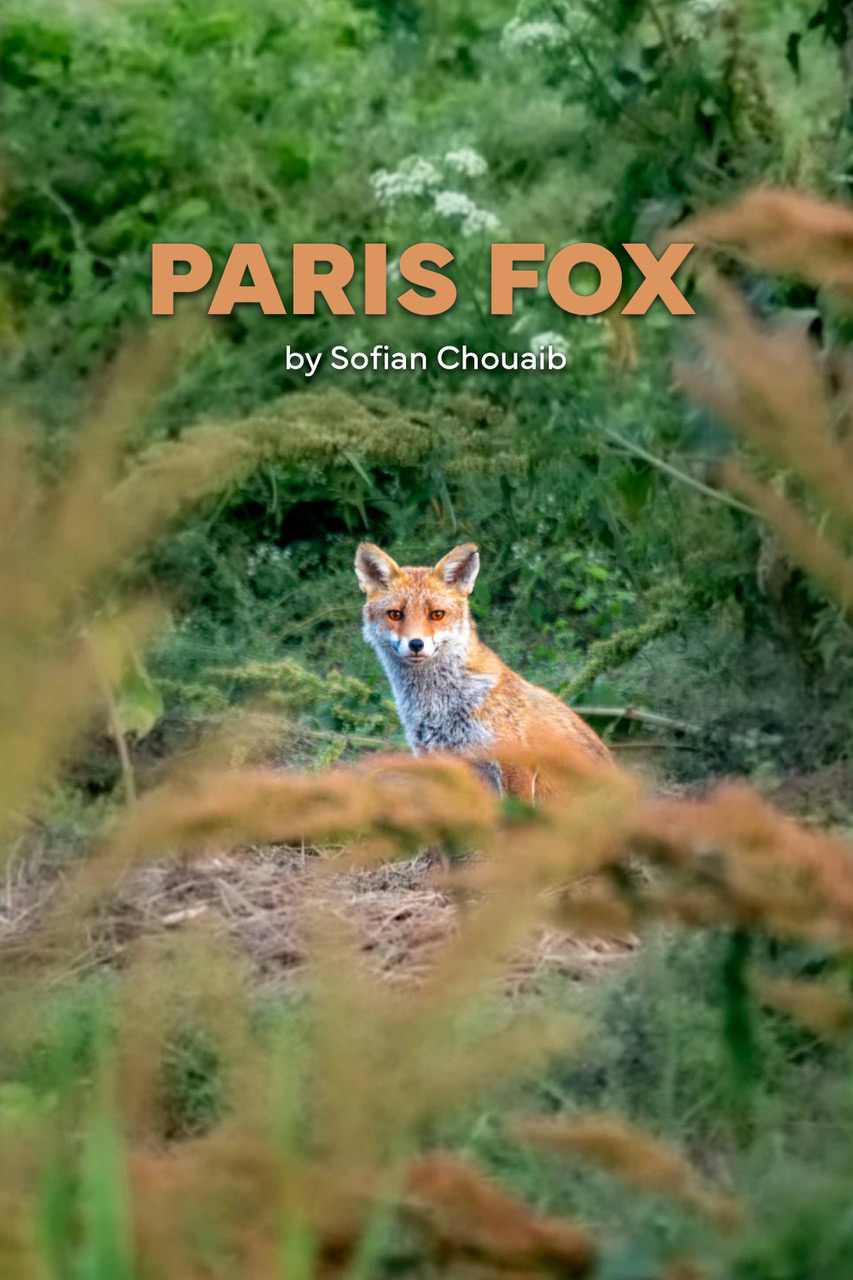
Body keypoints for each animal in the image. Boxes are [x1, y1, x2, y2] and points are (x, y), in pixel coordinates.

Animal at [355, 541, 612, 802]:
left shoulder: (515, 762)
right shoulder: (439, 762)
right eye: (395, 614)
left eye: (437, 614)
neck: (439, 707)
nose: (416, 644)